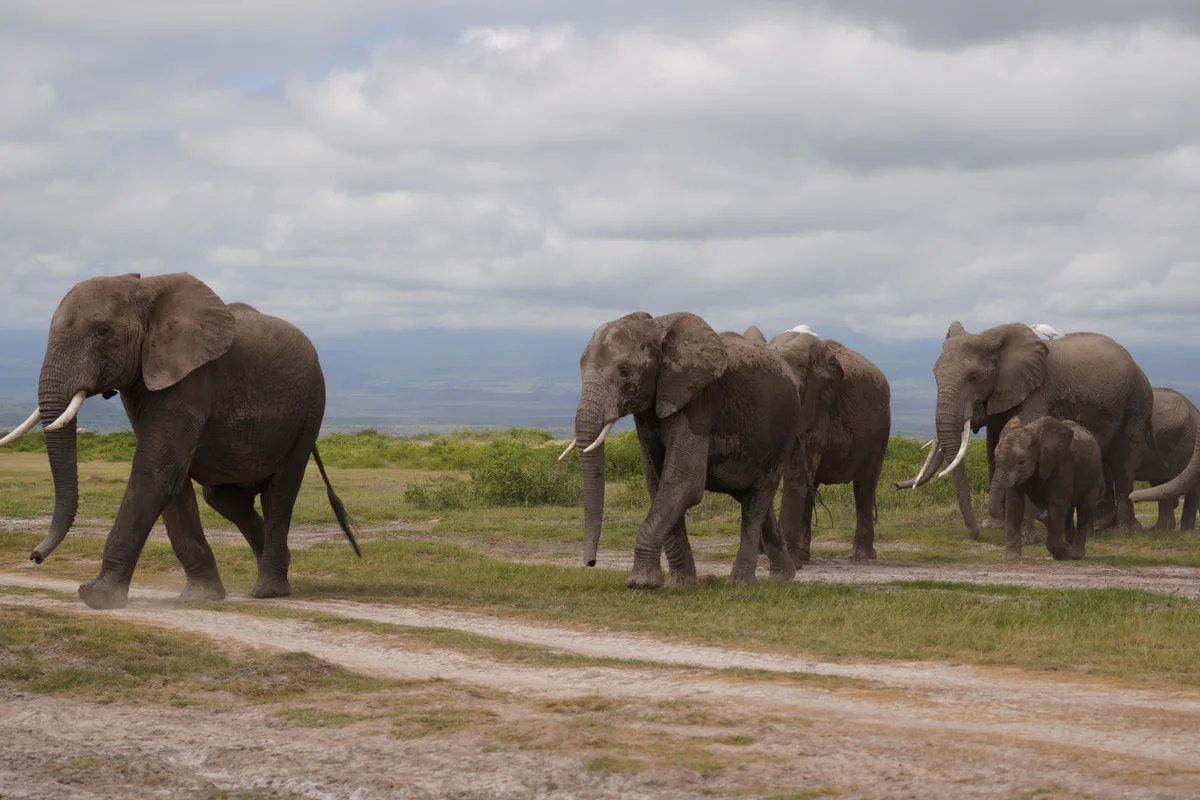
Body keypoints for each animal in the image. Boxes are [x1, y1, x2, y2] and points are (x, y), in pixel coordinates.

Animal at [0, 272, 360, 610]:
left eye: (102, 331)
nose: (35, 557)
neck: (147, 289)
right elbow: (172, 482)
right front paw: (200, 596)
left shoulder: (191, 378)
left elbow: (156, 471)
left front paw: (96, 596)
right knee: (224, 498)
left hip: (309, 410)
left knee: (280, 492)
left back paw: (270, 591)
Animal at [559, 311, 812, 589]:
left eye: (625, 372)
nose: (590, 563)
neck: (655, 329)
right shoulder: (650, 409)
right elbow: (658, 483)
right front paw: (682, 585)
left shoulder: (697, 401)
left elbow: (683, 483)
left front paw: (640, 583)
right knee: (753, 499)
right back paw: (783, 577)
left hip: (784, 431)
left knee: (757, 501)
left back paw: (740, 584)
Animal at [764, 328, 891, 562]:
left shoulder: (820, 405)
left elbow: (795, 473)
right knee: (812, 485)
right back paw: (804, 557)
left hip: (880, 430)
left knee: (864, 487)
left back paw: (860, 556)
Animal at [900, 322, 1155, 534]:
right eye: (935, 375)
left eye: (973, 377)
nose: (975, 534)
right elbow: (994, 446)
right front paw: (995, 526)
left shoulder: (1036, 392)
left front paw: (1019, 533)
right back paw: (1097, 529)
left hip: (1138, 404)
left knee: (1124, 465)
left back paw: (1124, 532)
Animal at [989, 416, 1104, 560]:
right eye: (995, 458)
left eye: (1021, 462)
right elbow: (1014, 503)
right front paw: (1012, 558)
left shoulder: (1063, 466)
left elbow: (1057, 504)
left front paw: (1064, 553)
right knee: (1068, 513)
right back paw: (1070, 546)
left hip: (1095, 477)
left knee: (1084, 508)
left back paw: (1076, 554)